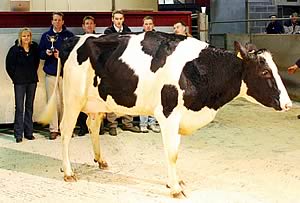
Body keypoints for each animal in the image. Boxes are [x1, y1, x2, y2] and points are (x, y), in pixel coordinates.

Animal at [39, 31, 290, 197]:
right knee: (66, 131)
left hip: (97, 101)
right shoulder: (169, 114)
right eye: (265, 72)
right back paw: (68, 171)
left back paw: (100, 160)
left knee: (92, 126)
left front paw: (175, 181)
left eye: (276, 70)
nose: (288, 104)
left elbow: (176, 152)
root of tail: (75, 38)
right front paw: (175, 188)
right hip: (72, 98)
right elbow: (172, 153)